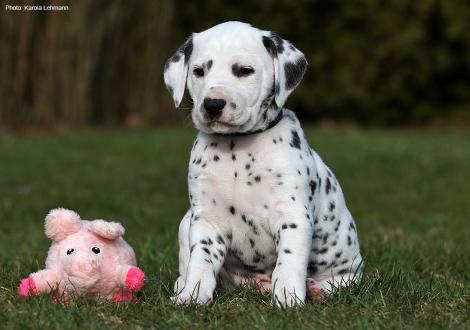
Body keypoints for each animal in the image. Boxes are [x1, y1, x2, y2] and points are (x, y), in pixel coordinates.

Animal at [163, 22, 362, 306]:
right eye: (199, 71)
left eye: (244, 71)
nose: (213, 104)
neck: (237, 148)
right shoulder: (207, 219)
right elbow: (201, 261)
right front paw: (192, 294)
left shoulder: (292, 216)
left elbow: (289, 262)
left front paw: (288, 297)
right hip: (186, 221)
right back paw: (182, 285)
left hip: (349, 270)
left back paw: (317, 290)